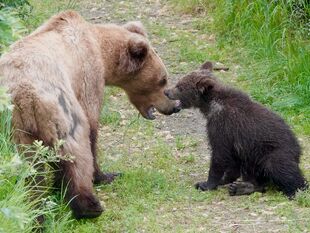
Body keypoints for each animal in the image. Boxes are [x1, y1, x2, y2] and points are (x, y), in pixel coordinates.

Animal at [0, 10, 180, 218]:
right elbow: (91, 126)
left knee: (28, 167)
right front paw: (106, 175)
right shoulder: (88, 79)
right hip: (60, 108)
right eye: (163, 79)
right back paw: (89, 207)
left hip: (15, 130)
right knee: (76, 149)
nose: (175, 106)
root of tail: (23, 95)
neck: (101, 52)